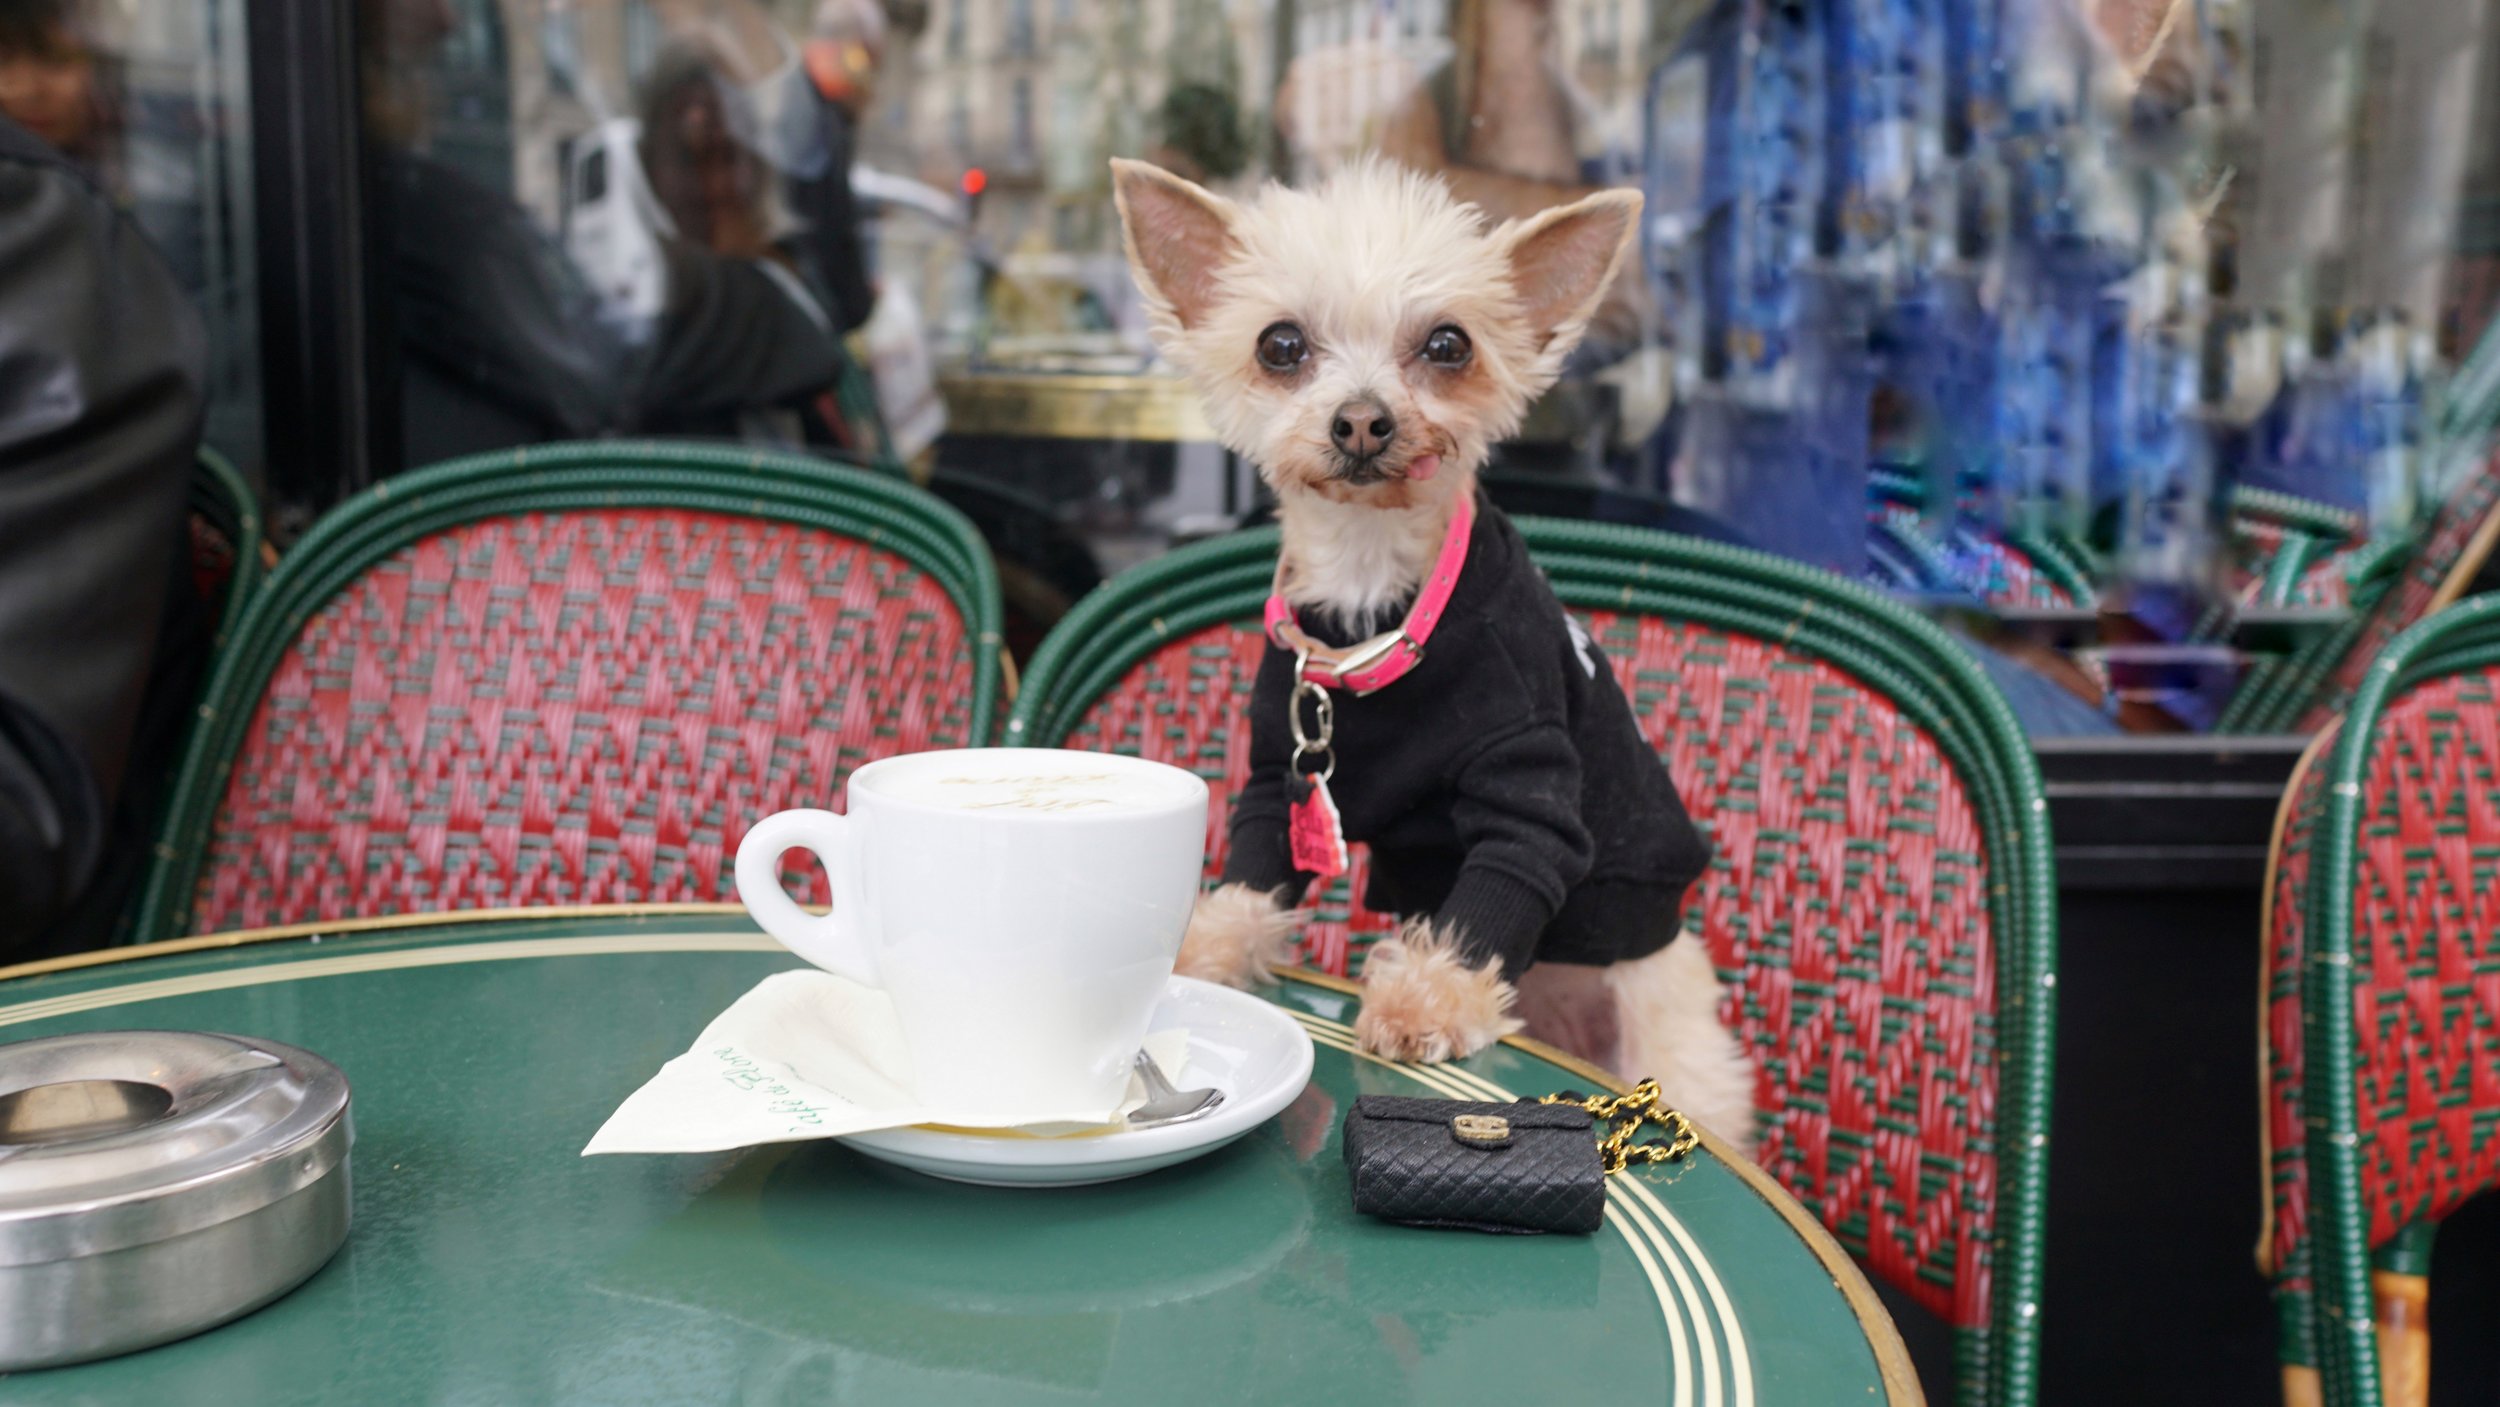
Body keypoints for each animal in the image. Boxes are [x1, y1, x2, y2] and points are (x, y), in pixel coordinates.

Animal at [1115, 156, 1760, 1154]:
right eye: (1280, 345)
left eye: (1449, 345)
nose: (1362, 421)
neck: (1369, 603)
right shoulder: (1277, 775)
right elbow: (1253, 873)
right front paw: (1207, 953)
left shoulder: (1526, 786)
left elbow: (1493, 894)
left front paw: (1427, 1000)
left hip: (1668, 1026)